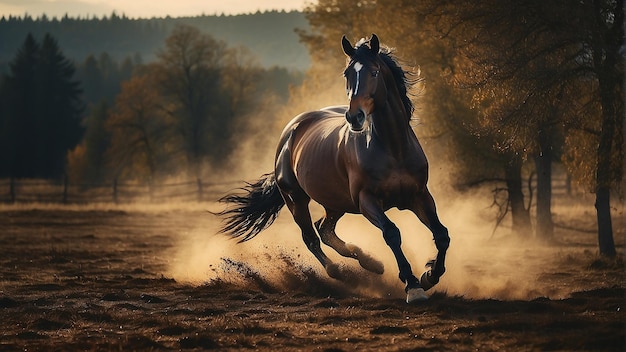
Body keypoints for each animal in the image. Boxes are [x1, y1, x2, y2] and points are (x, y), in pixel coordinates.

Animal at [216, 33, 448, 302]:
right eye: (347, 73)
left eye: (374, 71)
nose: (355, 117)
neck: (393, 148)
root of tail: (291, 130)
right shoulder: (367, 201)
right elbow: (392, 233)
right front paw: (413, 285)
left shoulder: (419, 195)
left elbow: (441, 234)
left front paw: (430, 275)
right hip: (296, 200)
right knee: (311, 237)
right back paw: (341, 272)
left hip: (336, 202)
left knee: (324, 230)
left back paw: (371, 263)